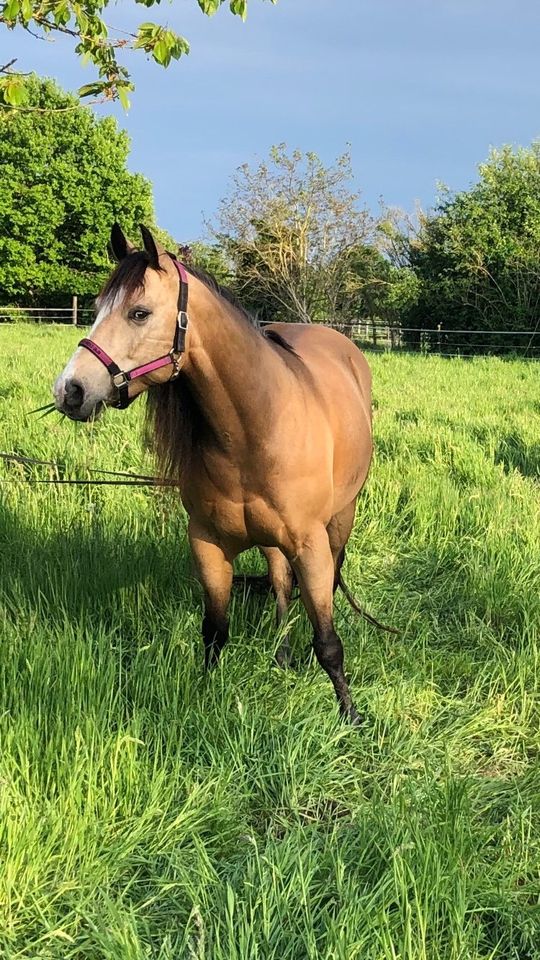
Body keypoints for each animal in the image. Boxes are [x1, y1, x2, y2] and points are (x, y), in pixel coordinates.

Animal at [52, 223, 378, 720]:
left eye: (139, 313)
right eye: (95, 308)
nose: (70, 390)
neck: (255, 428)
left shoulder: (311, 546)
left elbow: (328, 642)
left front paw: (351, 716)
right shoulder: (207, 543)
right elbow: (215, 630)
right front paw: (202, 696)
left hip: (341, 520)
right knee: (279, 584)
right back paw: (282, 656)